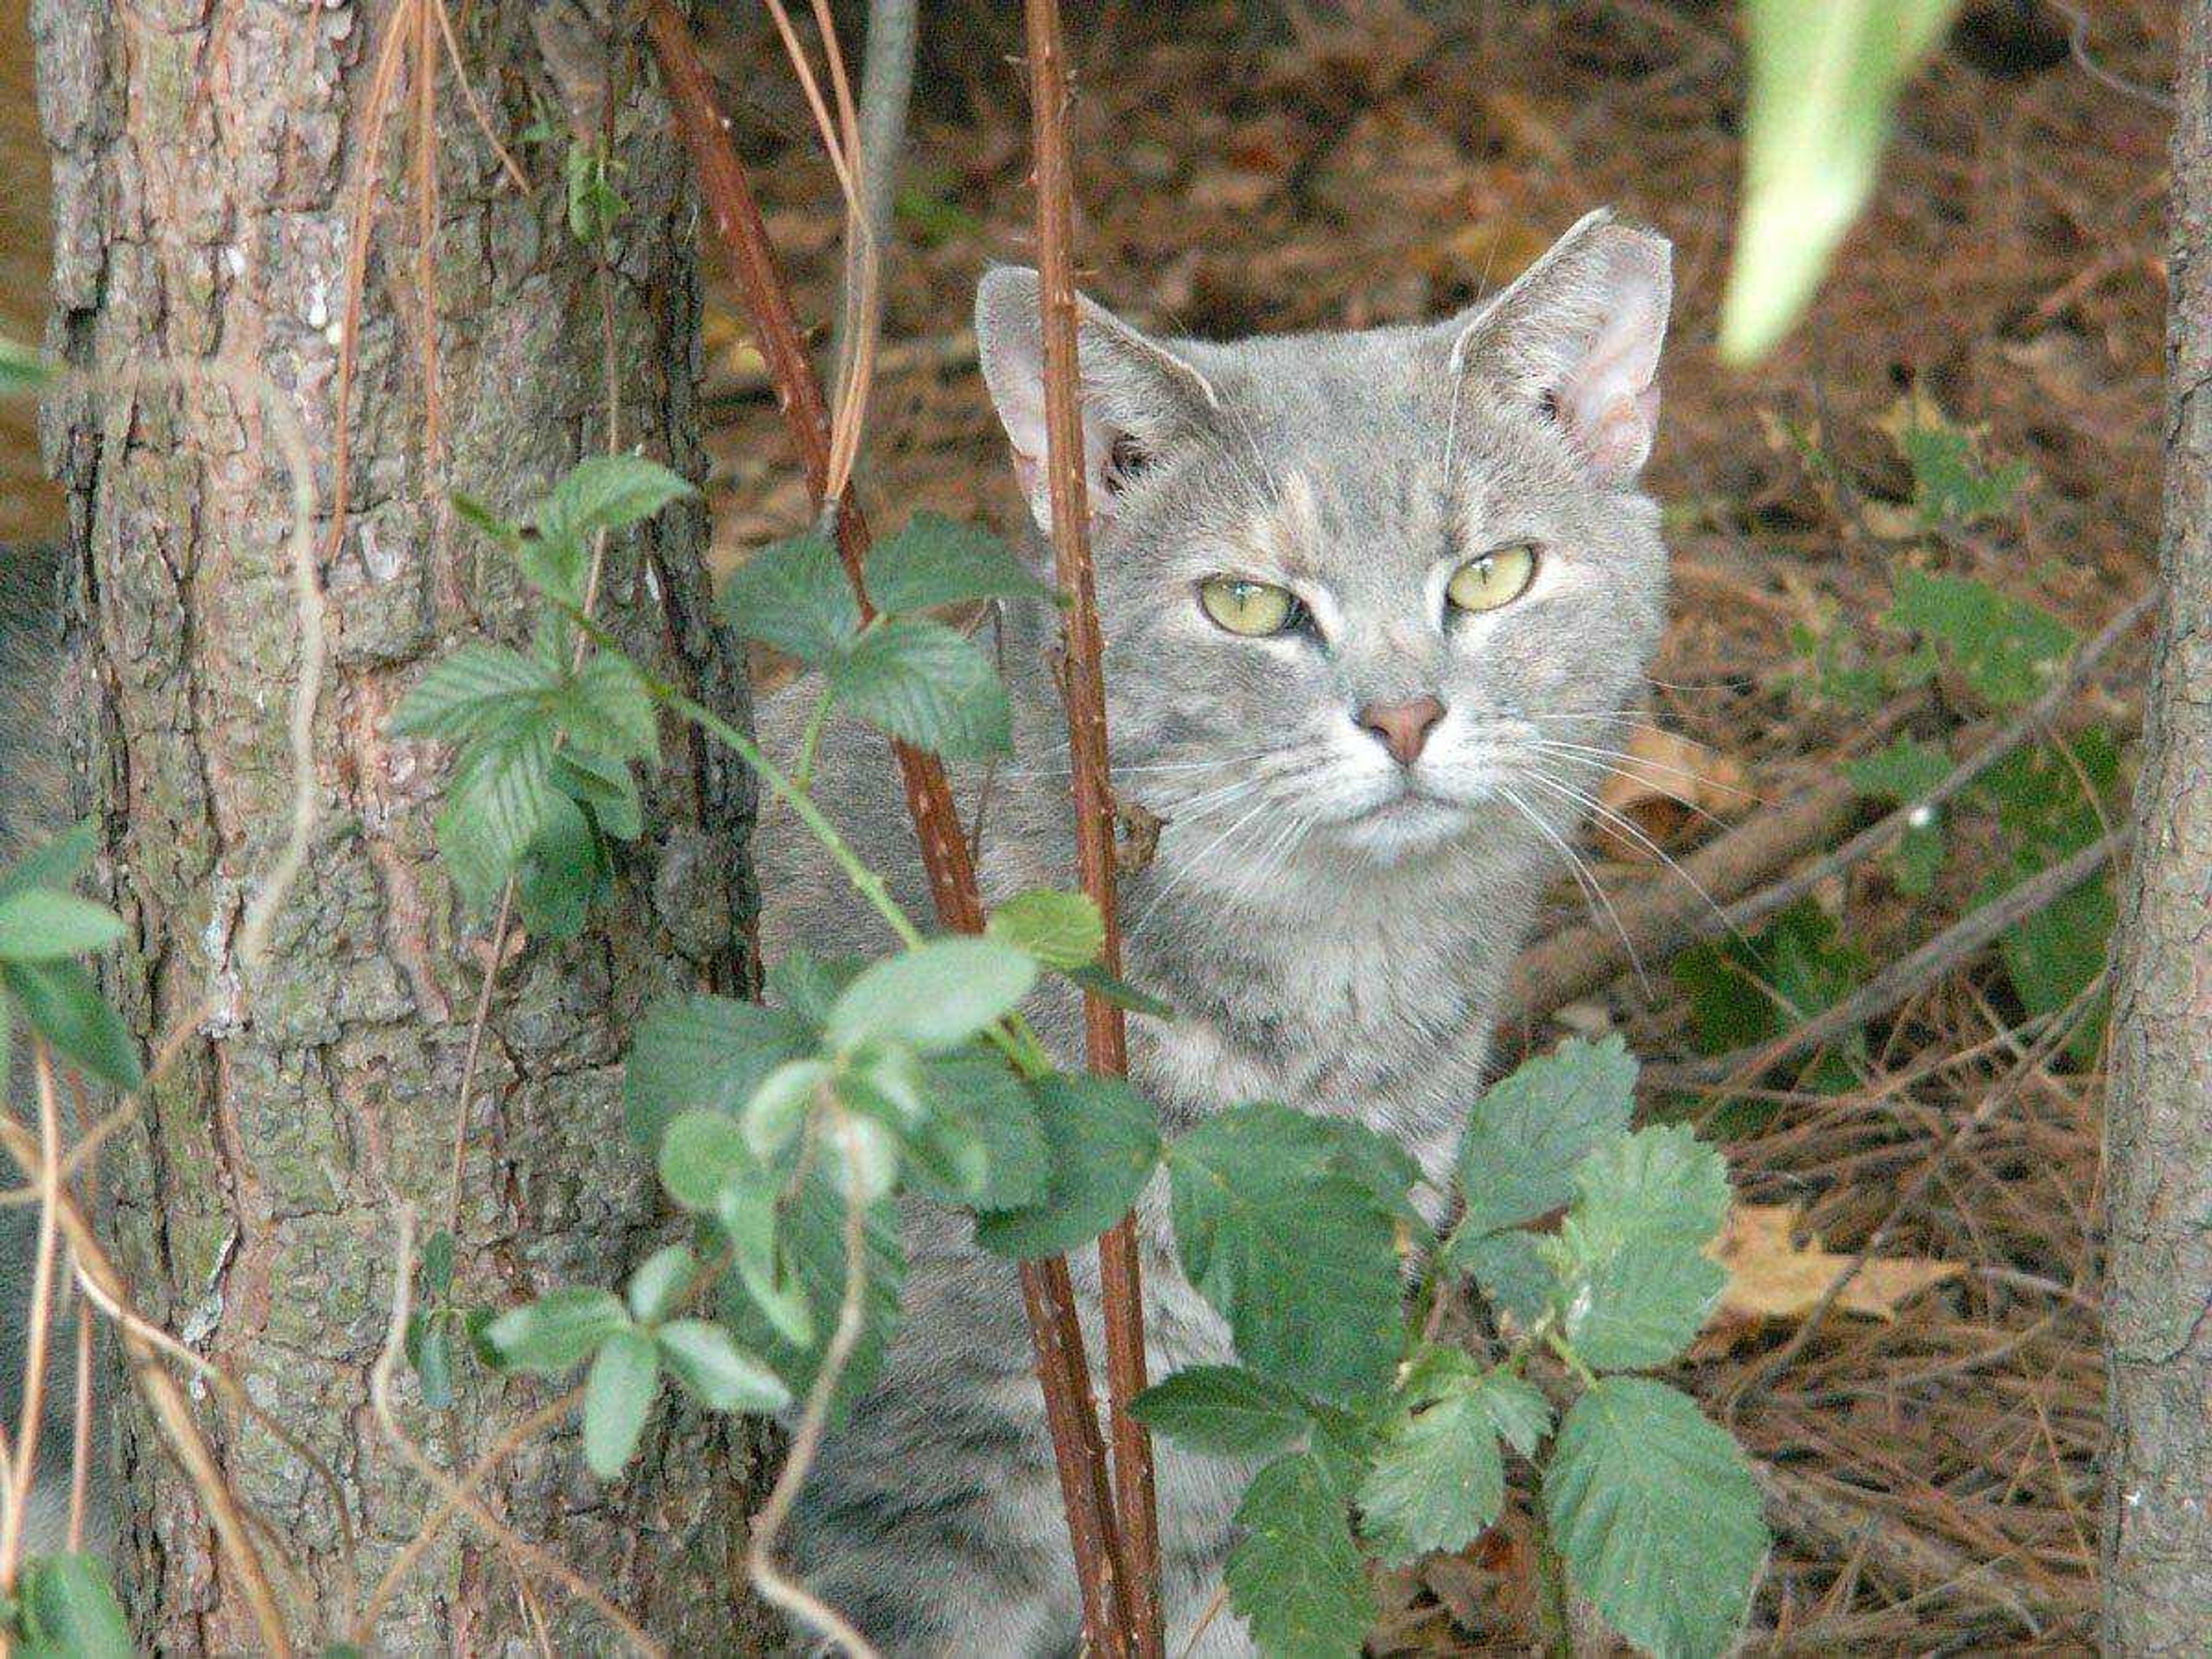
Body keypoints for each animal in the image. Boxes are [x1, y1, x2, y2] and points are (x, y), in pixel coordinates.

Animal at [760, 211, 1672, 1659]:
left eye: (1491, 575)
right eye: (1246, 604)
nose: (1405, 714)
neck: (1339, 1008)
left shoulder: (1230, 1463)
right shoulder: (907, 1494)